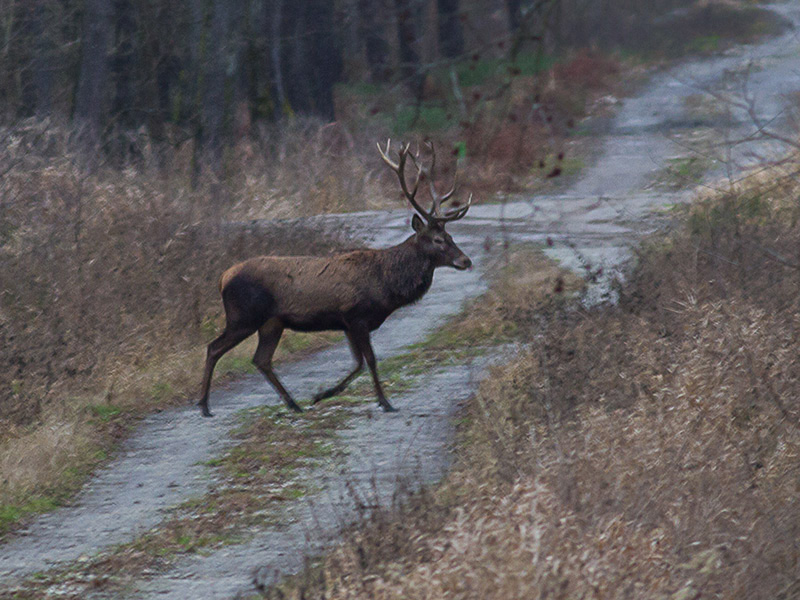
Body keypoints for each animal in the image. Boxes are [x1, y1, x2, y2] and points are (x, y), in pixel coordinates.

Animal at [199, 142, 472, 418]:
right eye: (438, 240)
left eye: (450, 236)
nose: (466, 261)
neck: (387, 286)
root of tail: (223, 278)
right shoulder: (356, 316)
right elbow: (370, 360)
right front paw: (385, 402)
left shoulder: (348, 323)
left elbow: (359, 363)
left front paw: (321, 395)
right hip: (243, 317)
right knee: (214, 348)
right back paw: (204, 406)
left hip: (272, 322)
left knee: (261, 359)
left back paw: (293, 403)